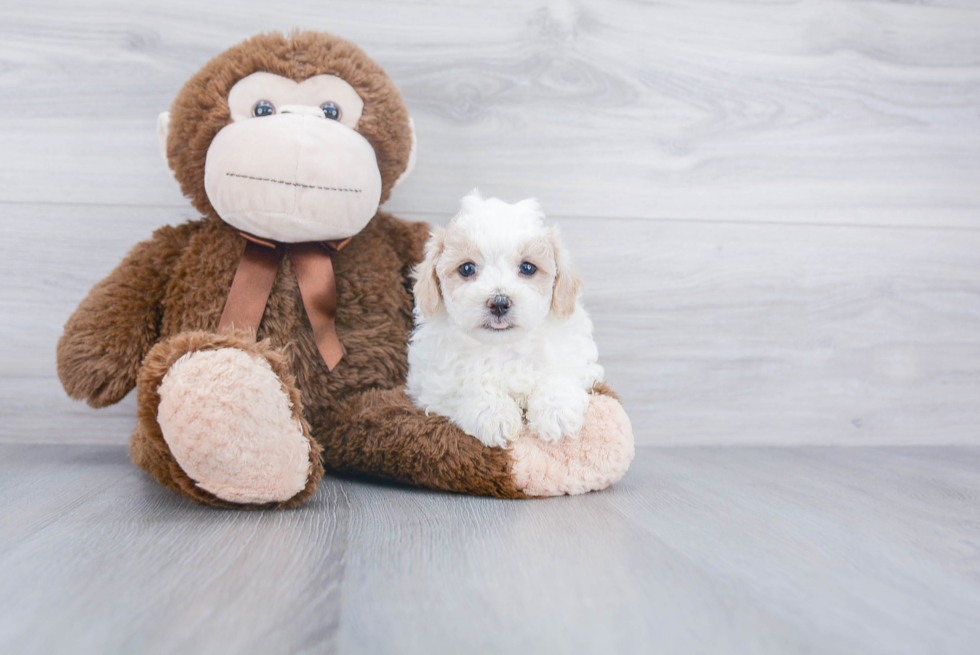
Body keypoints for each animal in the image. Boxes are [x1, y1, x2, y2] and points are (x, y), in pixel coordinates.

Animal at [406, 192, 604, 448]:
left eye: (528, 267)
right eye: (467, 268)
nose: (499, 302)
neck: (504, 347)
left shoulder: (575, 360)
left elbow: (560, 374)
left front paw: (557, 412)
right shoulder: (435, 387)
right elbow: (468, 389)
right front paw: (495, 416)